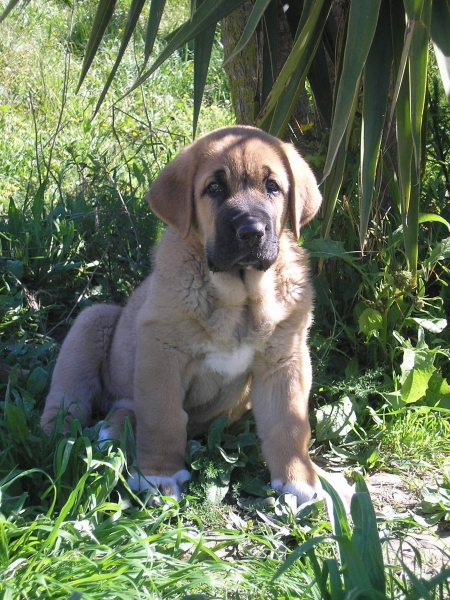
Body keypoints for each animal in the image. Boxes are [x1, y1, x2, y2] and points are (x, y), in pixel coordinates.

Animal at [40, 126, 354, 506]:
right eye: (214, 188)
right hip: (93, 321)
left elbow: (289, 422)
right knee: (70, 400)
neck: (239, 298)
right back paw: (74, 437)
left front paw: (299, 479)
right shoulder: (162, 352)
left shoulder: (284, 357)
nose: (252, 232)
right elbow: (162, 417)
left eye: (273, 187)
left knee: (126, 407)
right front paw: (158, 475)